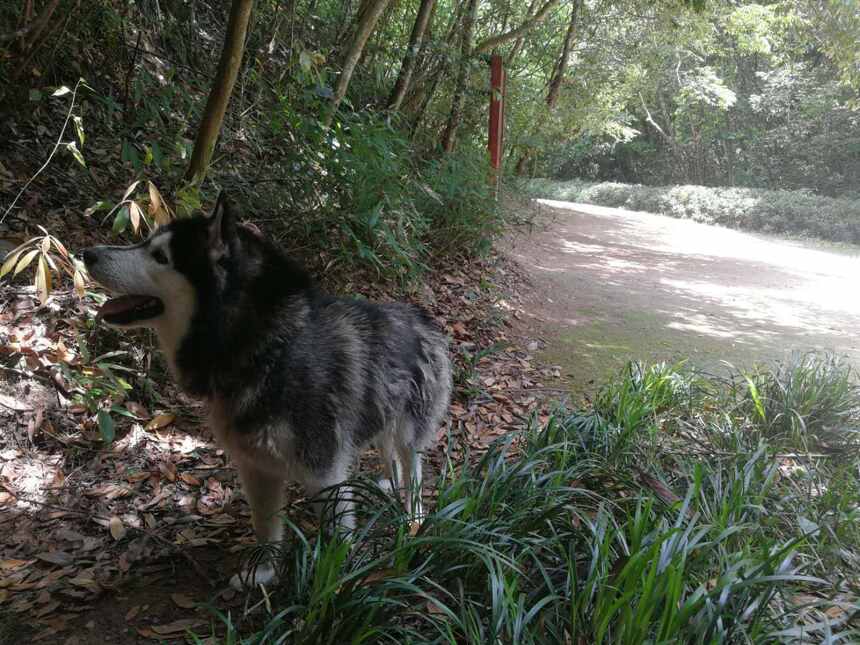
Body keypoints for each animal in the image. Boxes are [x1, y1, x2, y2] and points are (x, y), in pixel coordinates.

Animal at [81, 191, 454, 588]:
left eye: (160, 256)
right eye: (148, 243)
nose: (87, 253)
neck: (268, 350)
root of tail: (422, 317)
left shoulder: (324, 473)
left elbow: (337, 537)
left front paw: (337, 585)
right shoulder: (257, 468)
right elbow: (266, 526)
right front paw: (264, 573)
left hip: (408, 434)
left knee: (413, 473)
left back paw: (412, 519)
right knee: (391, 460)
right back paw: (389, 487)